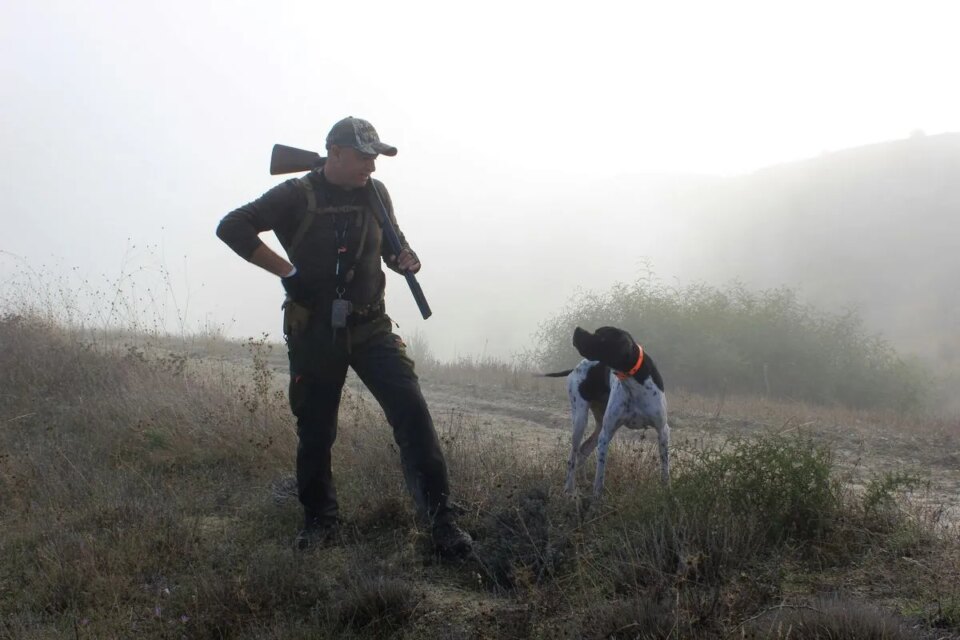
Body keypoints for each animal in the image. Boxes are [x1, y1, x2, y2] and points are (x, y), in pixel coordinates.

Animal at [544, 324, 672, 496]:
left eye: (601, 336)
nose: (577, 329)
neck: (633, 380)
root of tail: (576, 367)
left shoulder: (663, 430)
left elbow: (665, 469)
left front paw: (667, 491)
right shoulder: (606, 434)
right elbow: (600, 476)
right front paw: (596, 498)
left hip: (598, 424)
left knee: (583, 450)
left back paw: (583, 481)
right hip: (580, 420)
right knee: (573, 456)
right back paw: (569, 489)